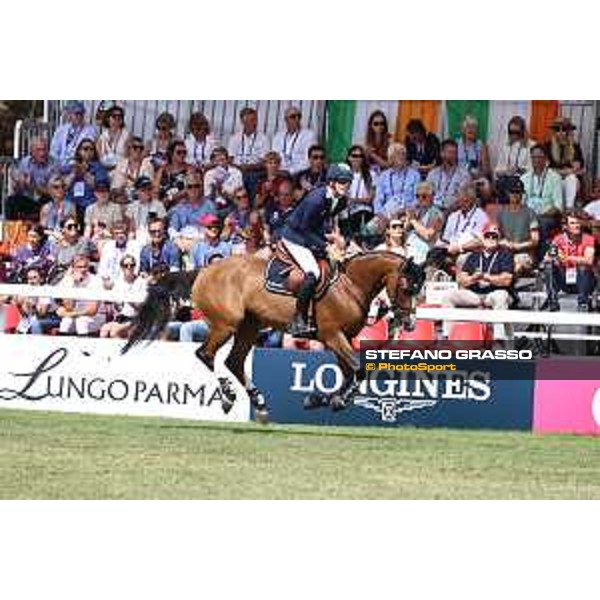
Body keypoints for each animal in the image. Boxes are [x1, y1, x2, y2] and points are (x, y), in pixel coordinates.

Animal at [122, 253, 424, 422]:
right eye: (407, 287)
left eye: (420, 288)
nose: (409, 324)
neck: (350, 286)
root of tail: (204, 271)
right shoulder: (333, 335)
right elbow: (358, 370)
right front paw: (338, 400)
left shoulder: (342, 339)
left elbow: (350, 372)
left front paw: (322, 399)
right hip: (226, 324)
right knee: (206, 355)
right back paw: (229, 397)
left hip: (249, 326)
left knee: (233, 361)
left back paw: (259, 403)